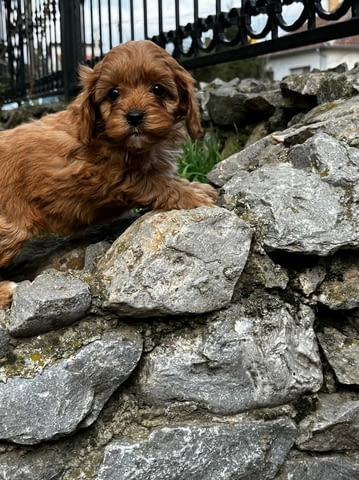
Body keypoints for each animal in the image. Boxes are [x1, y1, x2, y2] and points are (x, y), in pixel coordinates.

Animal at [0, 39, 217, 306]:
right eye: (113, 93)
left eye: (158, 89)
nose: (134, 116)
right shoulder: (109, 175)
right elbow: (154, 182)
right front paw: (191, 193)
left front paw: (194, 185)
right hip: (10, 228)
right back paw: (5, 290)